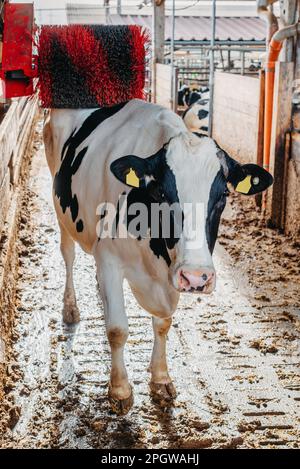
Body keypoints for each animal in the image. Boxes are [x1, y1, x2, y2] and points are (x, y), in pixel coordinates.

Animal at [43, 98, 274, 414]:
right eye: (162, 193)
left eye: (223, 197)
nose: (197, 277)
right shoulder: (109, 260)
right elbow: (117, 329)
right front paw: (119, 390)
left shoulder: (168, 276)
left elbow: (163, 323)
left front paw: (161, 379)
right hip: (61, 211)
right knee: (68, 255)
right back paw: (70, 309)